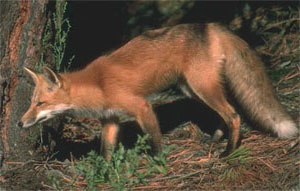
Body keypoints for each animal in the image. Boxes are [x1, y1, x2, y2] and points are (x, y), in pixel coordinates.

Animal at [18, 23, 298, 159]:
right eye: (31, 102)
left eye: (40, 104)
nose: (20, 123)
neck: (97, 84)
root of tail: (208, 25)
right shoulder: (110, 120)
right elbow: (106, 151)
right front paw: (105, 173)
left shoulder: (142, 107)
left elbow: (155, 140)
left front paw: (158, 162)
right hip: (192, 90)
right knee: (227, 112)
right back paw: (217, 137)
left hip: (201, 87)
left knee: (234, 114)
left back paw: (229, 151)